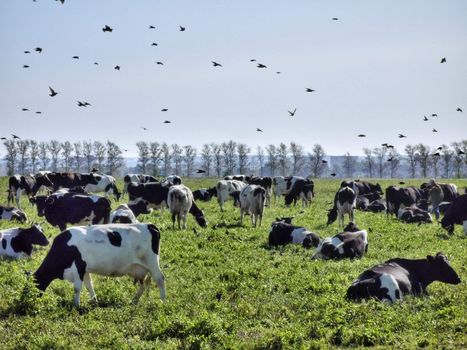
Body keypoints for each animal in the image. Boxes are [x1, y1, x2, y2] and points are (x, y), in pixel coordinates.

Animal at [34, 224, 166, 306]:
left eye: (34, 284)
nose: (30, 302)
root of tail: (149, 225)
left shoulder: (78, 266)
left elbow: (77, 288)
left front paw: (76, 305)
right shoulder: (85, 270)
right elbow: (89, 286)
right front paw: (94, 301)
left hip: (152, 261)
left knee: (160, 279)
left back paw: (163, 301)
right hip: (140, 269)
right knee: (144, 284)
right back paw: (134, 301)